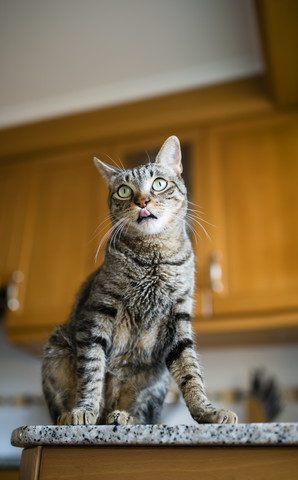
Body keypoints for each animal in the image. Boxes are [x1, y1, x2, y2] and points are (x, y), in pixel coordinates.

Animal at [42, 135, 237, 424]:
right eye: (124, 191)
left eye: (159, 184)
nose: (142, 201)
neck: (154, 257)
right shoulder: (99, 310)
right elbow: (92, 369)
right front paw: (85, 409)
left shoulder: (178, 316)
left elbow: (190, 371)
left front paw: (208, 411)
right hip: (56, 349)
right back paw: (73, 416)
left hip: (156, 378)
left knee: (144, 415)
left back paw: (124, 417)